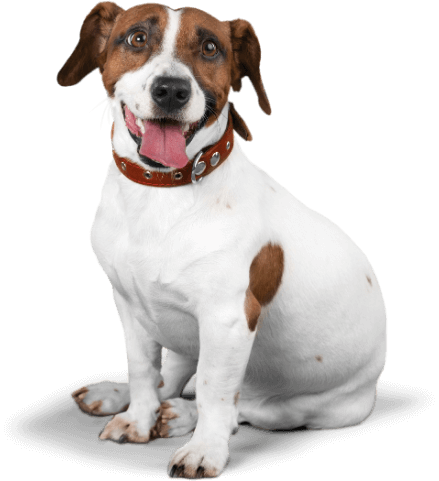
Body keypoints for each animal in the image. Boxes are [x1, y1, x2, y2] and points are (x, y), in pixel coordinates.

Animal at [57, 1, 388, 478]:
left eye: (210, 48)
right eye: (137, 38)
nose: (171, 90)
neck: (163, 193)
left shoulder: (227, 320)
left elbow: (214, 390)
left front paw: (203, 450)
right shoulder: (129, 304)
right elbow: (143, 370)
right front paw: (137, 417)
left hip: (320, 407)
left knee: (242, 407)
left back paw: (183, 415)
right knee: (174, 372)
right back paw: (123, 396)